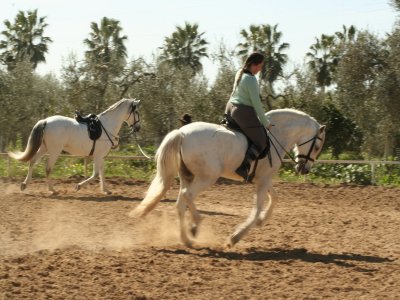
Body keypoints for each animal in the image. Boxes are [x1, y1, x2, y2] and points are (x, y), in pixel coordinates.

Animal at [8, 97, 141, 193]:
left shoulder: (101, 156)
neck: (107, 126)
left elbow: (102, 172)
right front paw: (78, 186)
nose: (138, 128)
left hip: (44, 148)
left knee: (33, 162)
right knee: (48, 168)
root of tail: (45, 121)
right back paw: (52, 190)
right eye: (136, 111)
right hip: (55, 150)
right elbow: (96, 174)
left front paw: (106, 190)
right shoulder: (97, 156)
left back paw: (24, 185)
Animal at [131, 109, 324, 247]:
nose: (304, 169)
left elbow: (275, 197)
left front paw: (262, 220)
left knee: (180, 204)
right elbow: (257, 208)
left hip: (188, 176)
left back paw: (186, 239)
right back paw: (195, 225)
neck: (276, 136)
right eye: (317, 147)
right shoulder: (263, 180)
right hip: (207, 177)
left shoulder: (263, 179)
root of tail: (182, 133)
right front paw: (235, 237)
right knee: (187, 196)